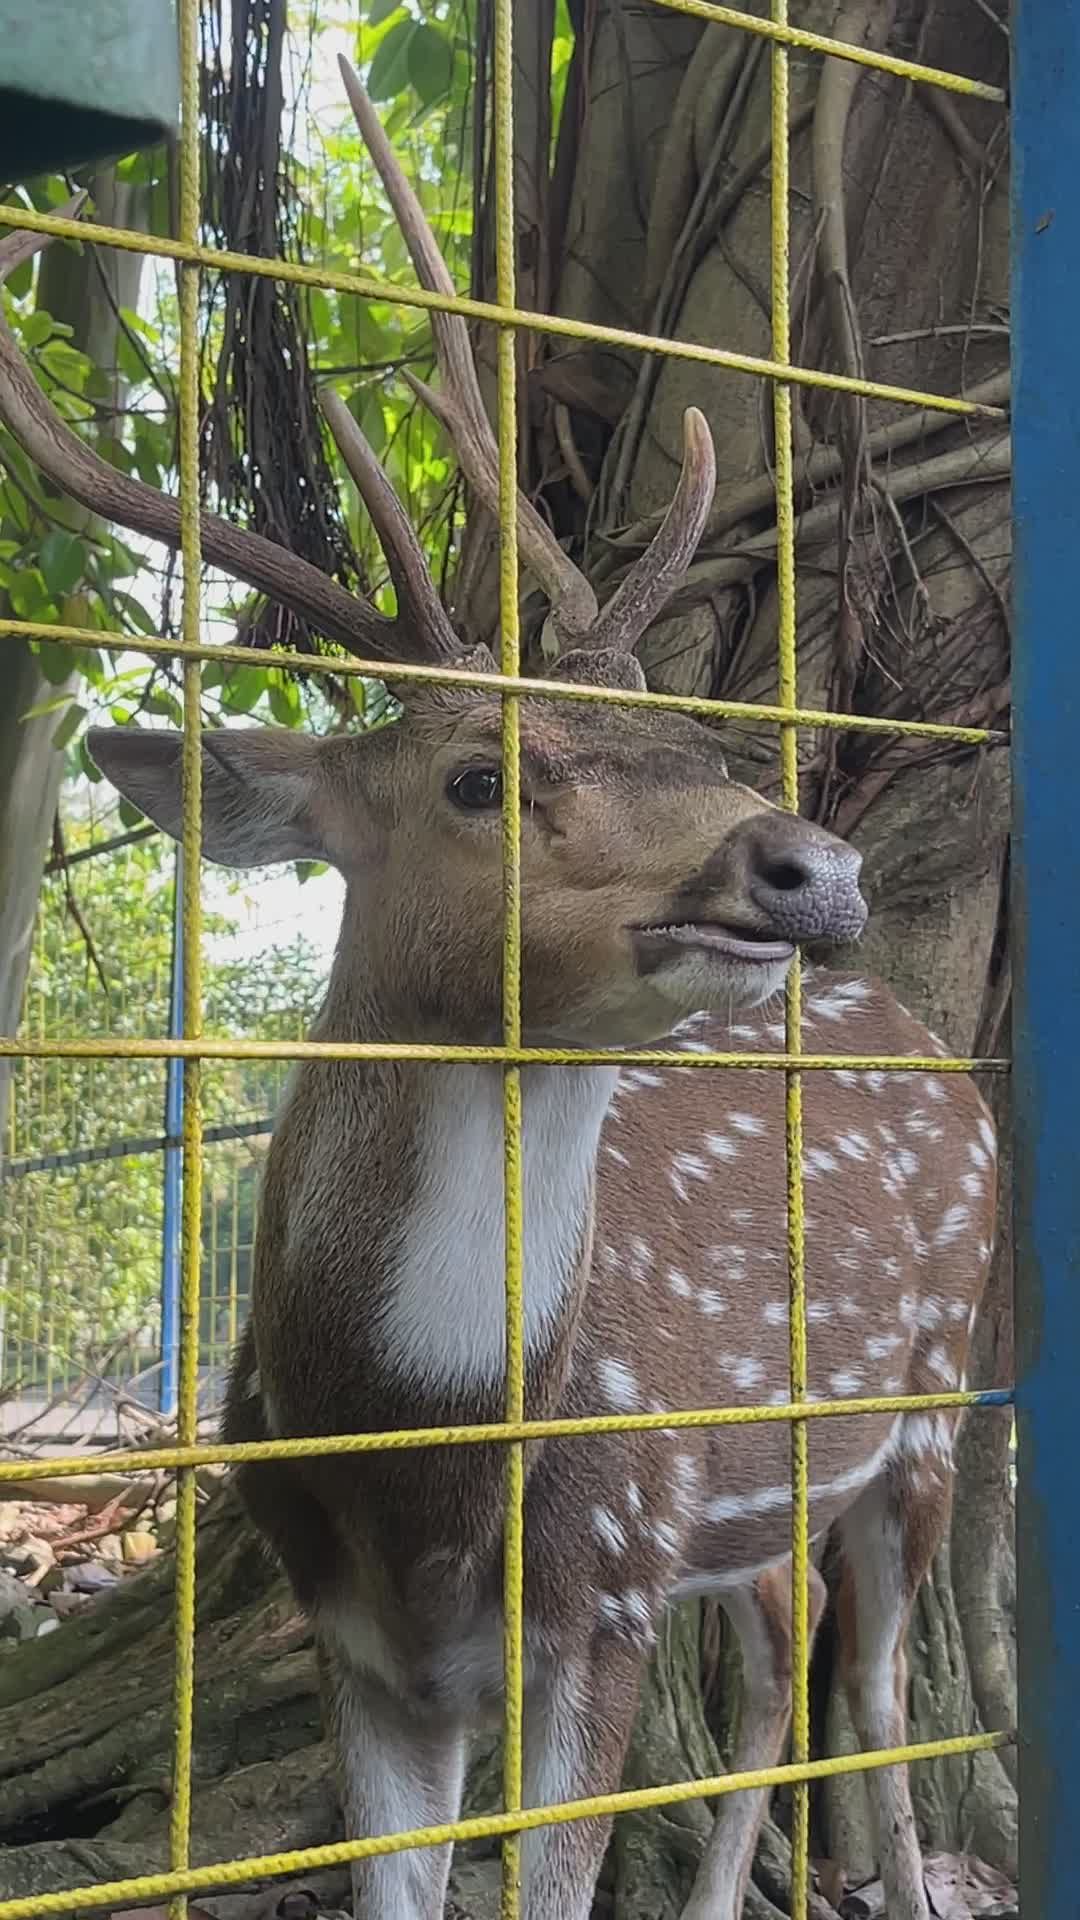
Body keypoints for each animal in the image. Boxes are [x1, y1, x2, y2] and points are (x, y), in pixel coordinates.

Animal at [0, 60, 997, 1920]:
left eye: (697, 738)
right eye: (480, 776)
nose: (811, 866)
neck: (431, 1461)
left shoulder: (603, 1587)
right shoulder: (367, 1643)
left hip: (936, 1385)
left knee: (885, 1687)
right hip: (758, 1490)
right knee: (785, 1645)